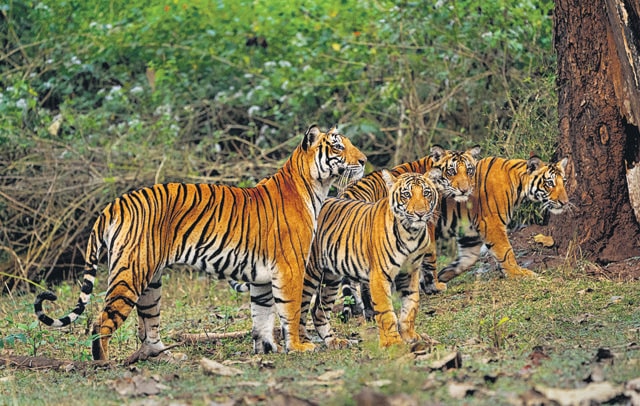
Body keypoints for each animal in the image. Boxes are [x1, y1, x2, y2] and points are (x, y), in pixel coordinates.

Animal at [34, 125, 367, 364]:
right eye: (338, 145)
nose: (363, 161)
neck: (314, 186)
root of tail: (116, 203)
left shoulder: (261, 277)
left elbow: (262, 315)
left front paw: (266, 350)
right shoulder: (290, 267)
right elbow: (292, 309)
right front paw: (298, 346)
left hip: (151, 282)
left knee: (147, 325)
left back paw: (165, 356)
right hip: (131, 273)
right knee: (101, 320)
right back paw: (103, 363)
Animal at [301, 171, 440, 349]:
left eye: (426, 193)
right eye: (406, 195)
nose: (421, 214)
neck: (411, 233)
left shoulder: (410, 272)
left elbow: (411, 305)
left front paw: (410, 336)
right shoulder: (380, 276)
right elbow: (386, 311)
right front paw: (394, 342)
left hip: (330, 278)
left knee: (317, 311)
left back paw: (335, 341)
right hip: (308, 274)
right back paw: (301, 344)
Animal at [436, 155, 569, 282]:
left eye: (563, 182)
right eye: (550, 183)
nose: (565, 203)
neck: (519, 186)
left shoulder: (469, 231)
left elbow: (469, 257)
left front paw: (443, 275)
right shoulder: (492, 222)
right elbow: (506, 251)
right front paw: (517, 273)